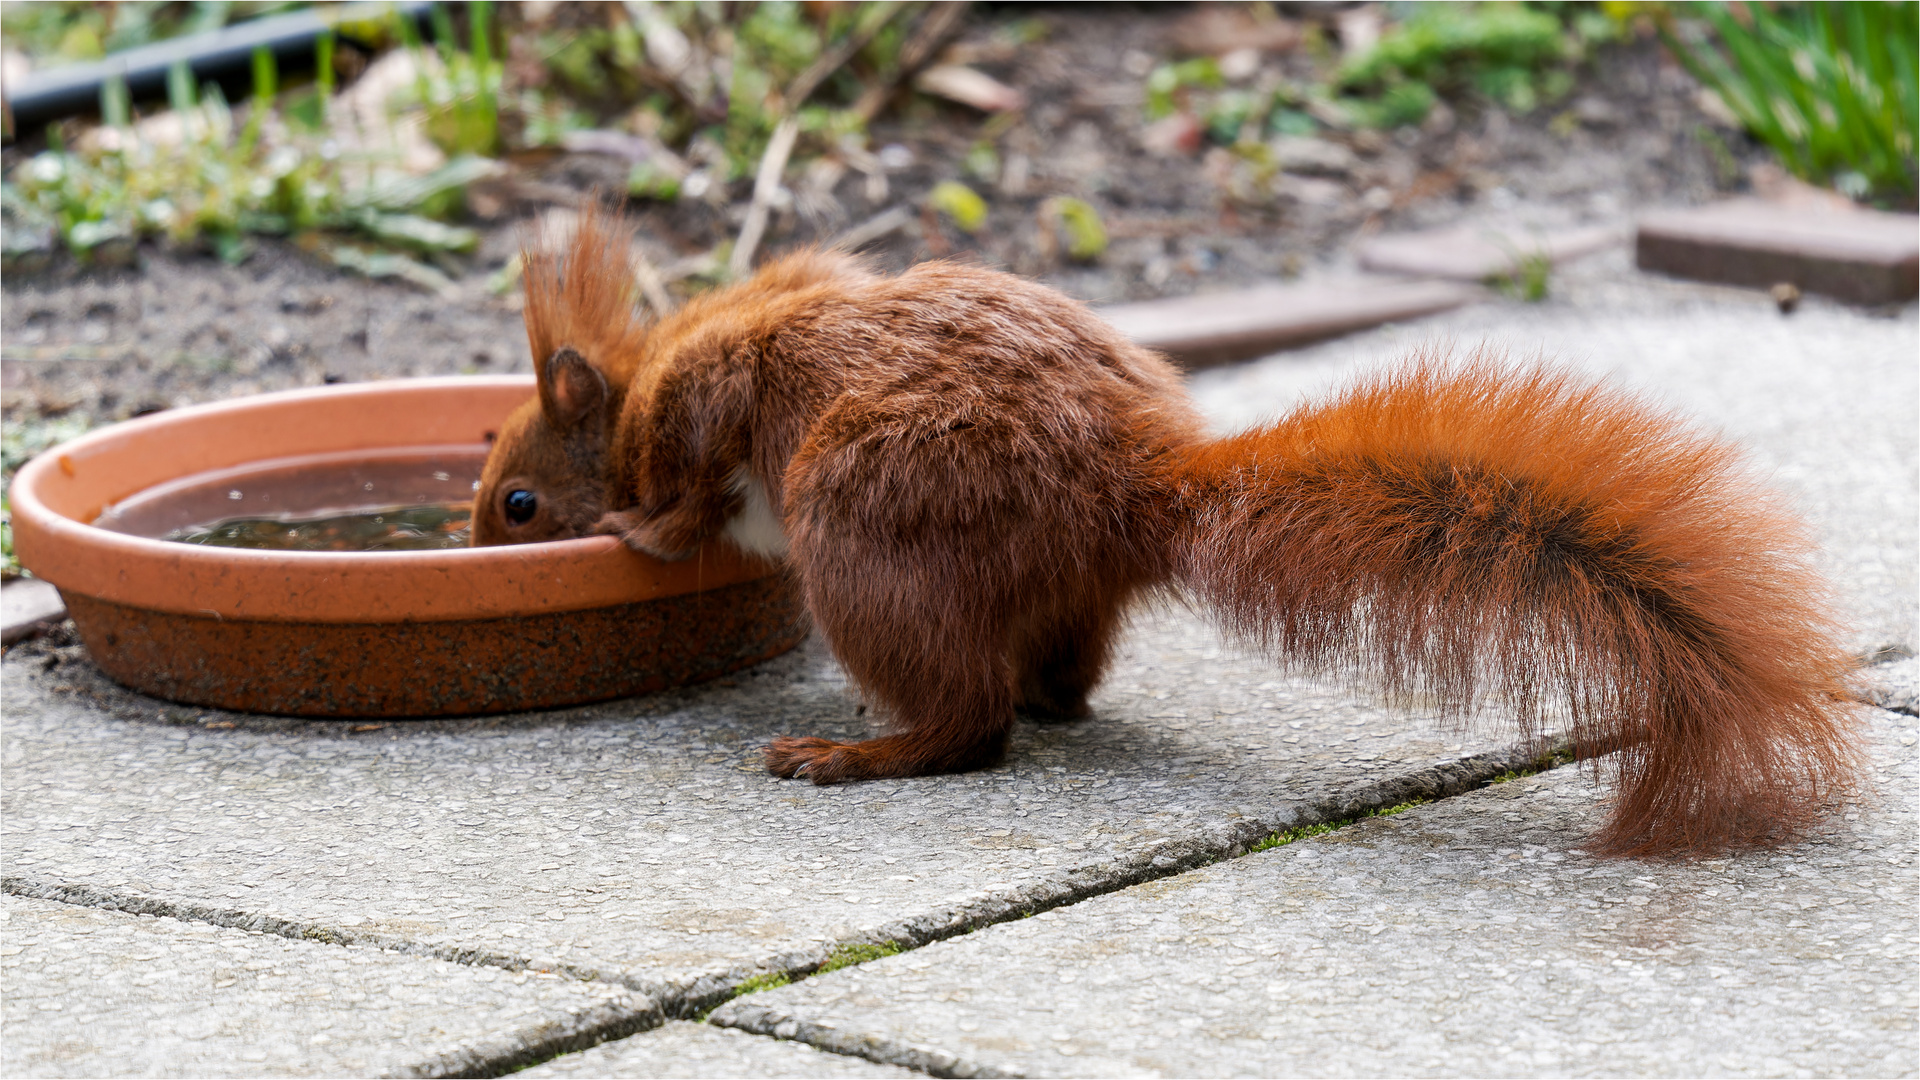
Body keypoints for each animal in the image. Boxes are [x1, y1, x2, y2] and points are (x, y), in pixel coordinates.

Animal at [468, 205, 1858, 853]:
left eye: (519, 501)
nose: (476, 546)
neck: (643, 373)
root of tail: (1120, 490)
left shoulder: (707, 392)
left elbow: (691, 473)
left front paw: (646, 532)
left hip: (863, 520)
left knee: (968, 724)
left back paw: (858, 752)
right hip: (1029, 583)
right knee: (1059, 679)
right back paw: (1008, 701)